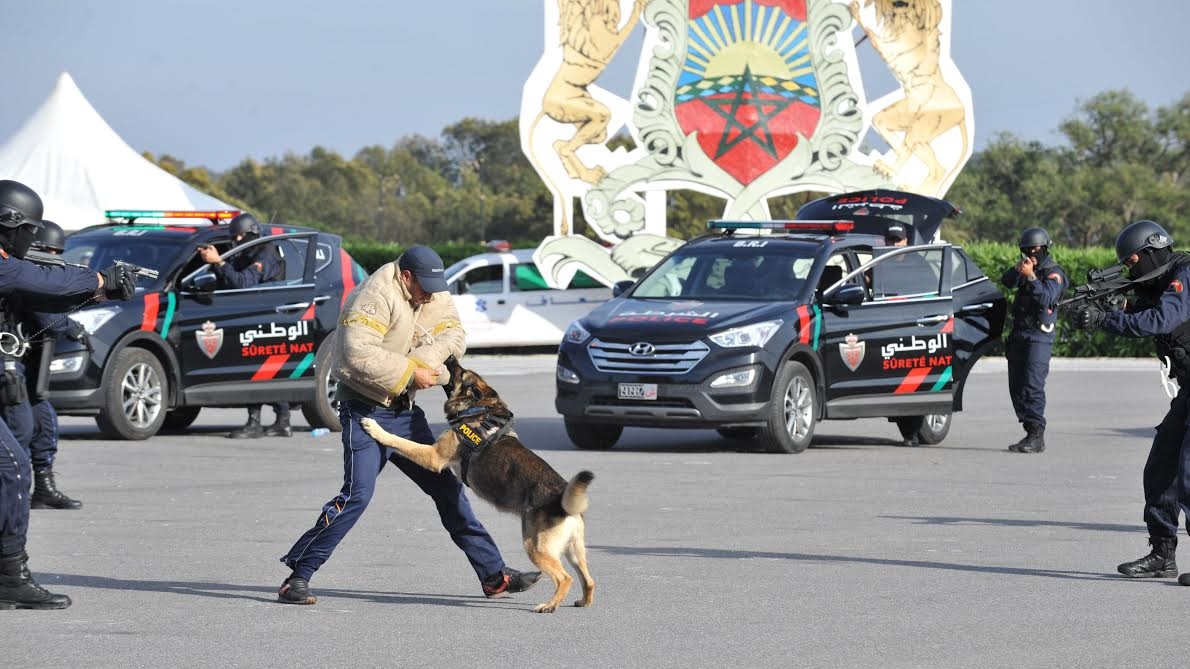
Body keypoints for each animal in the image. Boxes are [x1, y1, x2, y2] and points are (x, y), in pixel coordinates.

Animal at [354, 357, 592, 614]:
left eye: (461, 372)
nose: (450, 358)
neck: (479, 408)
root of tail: (562, 499)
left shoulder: (433, 456)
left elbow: (402, 442)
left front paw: (376, 428)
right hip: (574, 551)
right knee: (588, 579)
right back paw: (584, 601)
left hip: (535, 546)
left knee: (565, 578)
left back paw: (549, 605)